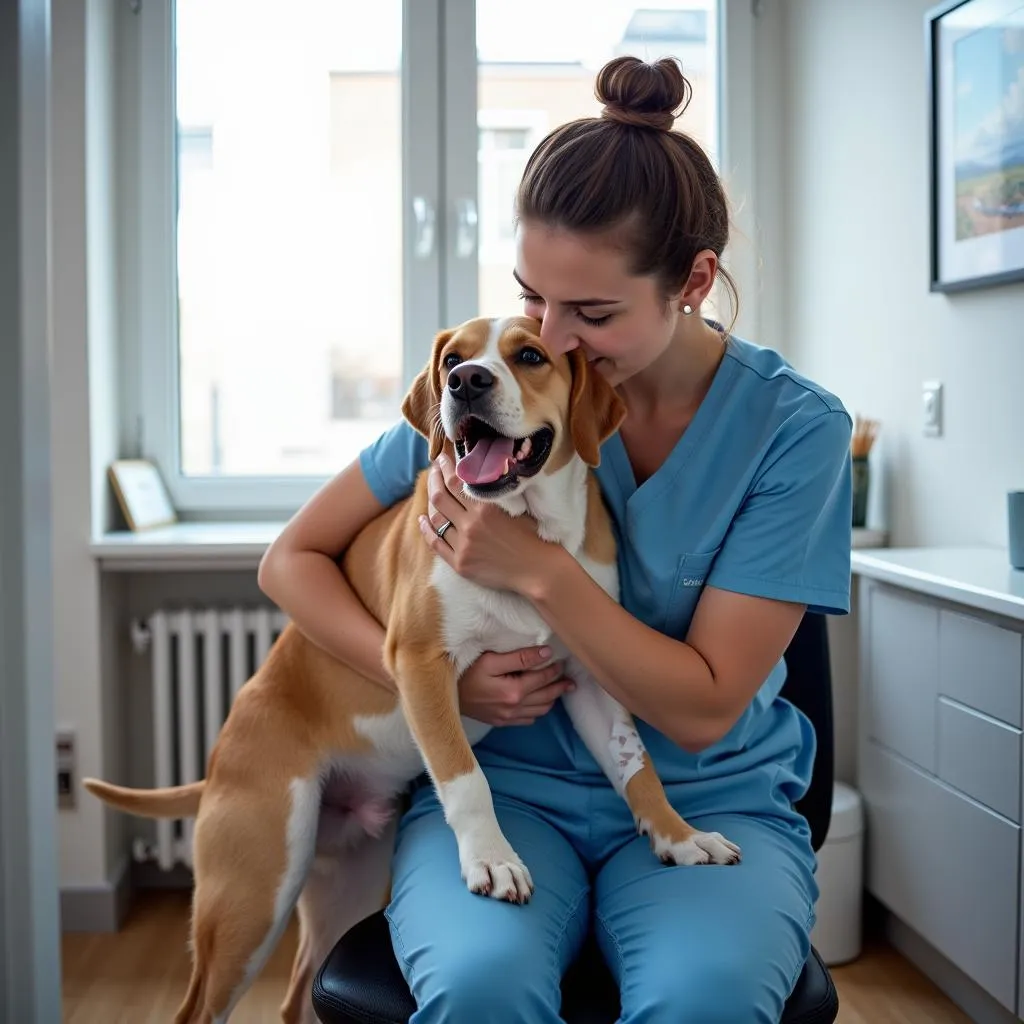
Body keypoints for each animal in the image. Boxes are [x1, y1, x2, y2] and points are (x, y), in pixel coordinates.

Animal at [83, 315, 741, 1024]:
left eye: (530, 355)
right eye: (453, 359)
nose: (466, 382)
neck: (528, 532)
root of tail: (217, 763)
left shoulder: (591, 681)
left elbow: (636, 768)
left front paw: (680, 837)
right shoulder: (422, 663)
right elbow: (467, 779)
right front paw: (492, 859)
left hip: (346, 885)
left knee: (296, 999)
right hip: (253, 895)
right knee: (199, 1007)